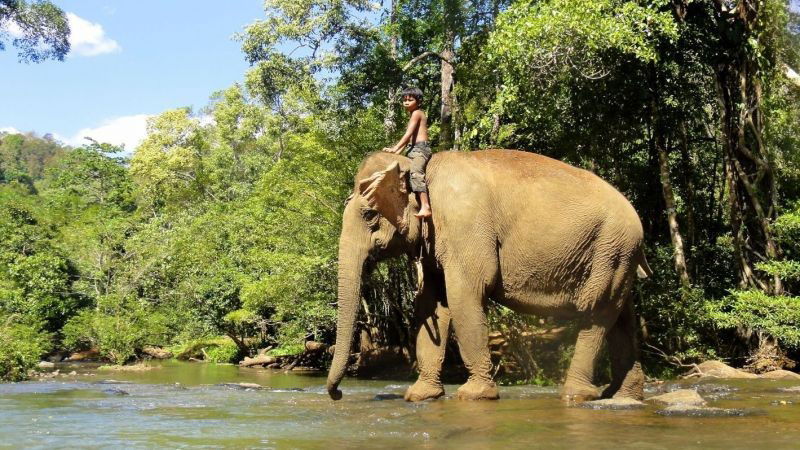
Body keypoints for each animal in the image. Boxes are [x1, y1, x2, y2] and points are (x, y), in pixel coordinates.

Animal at [324, 149, 648, 402]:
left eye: (368, 215)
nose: (337, 393)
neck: (419, 168)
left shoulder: (464, 225)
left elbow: (464, 294)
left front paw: (475, 395)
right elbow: (432, 303)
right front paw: (420, 396)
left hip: (610, 248)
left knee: (596, 313)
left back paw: (577, 395)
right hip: (616, 255)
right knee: (621, 316)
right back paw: (623, 396)